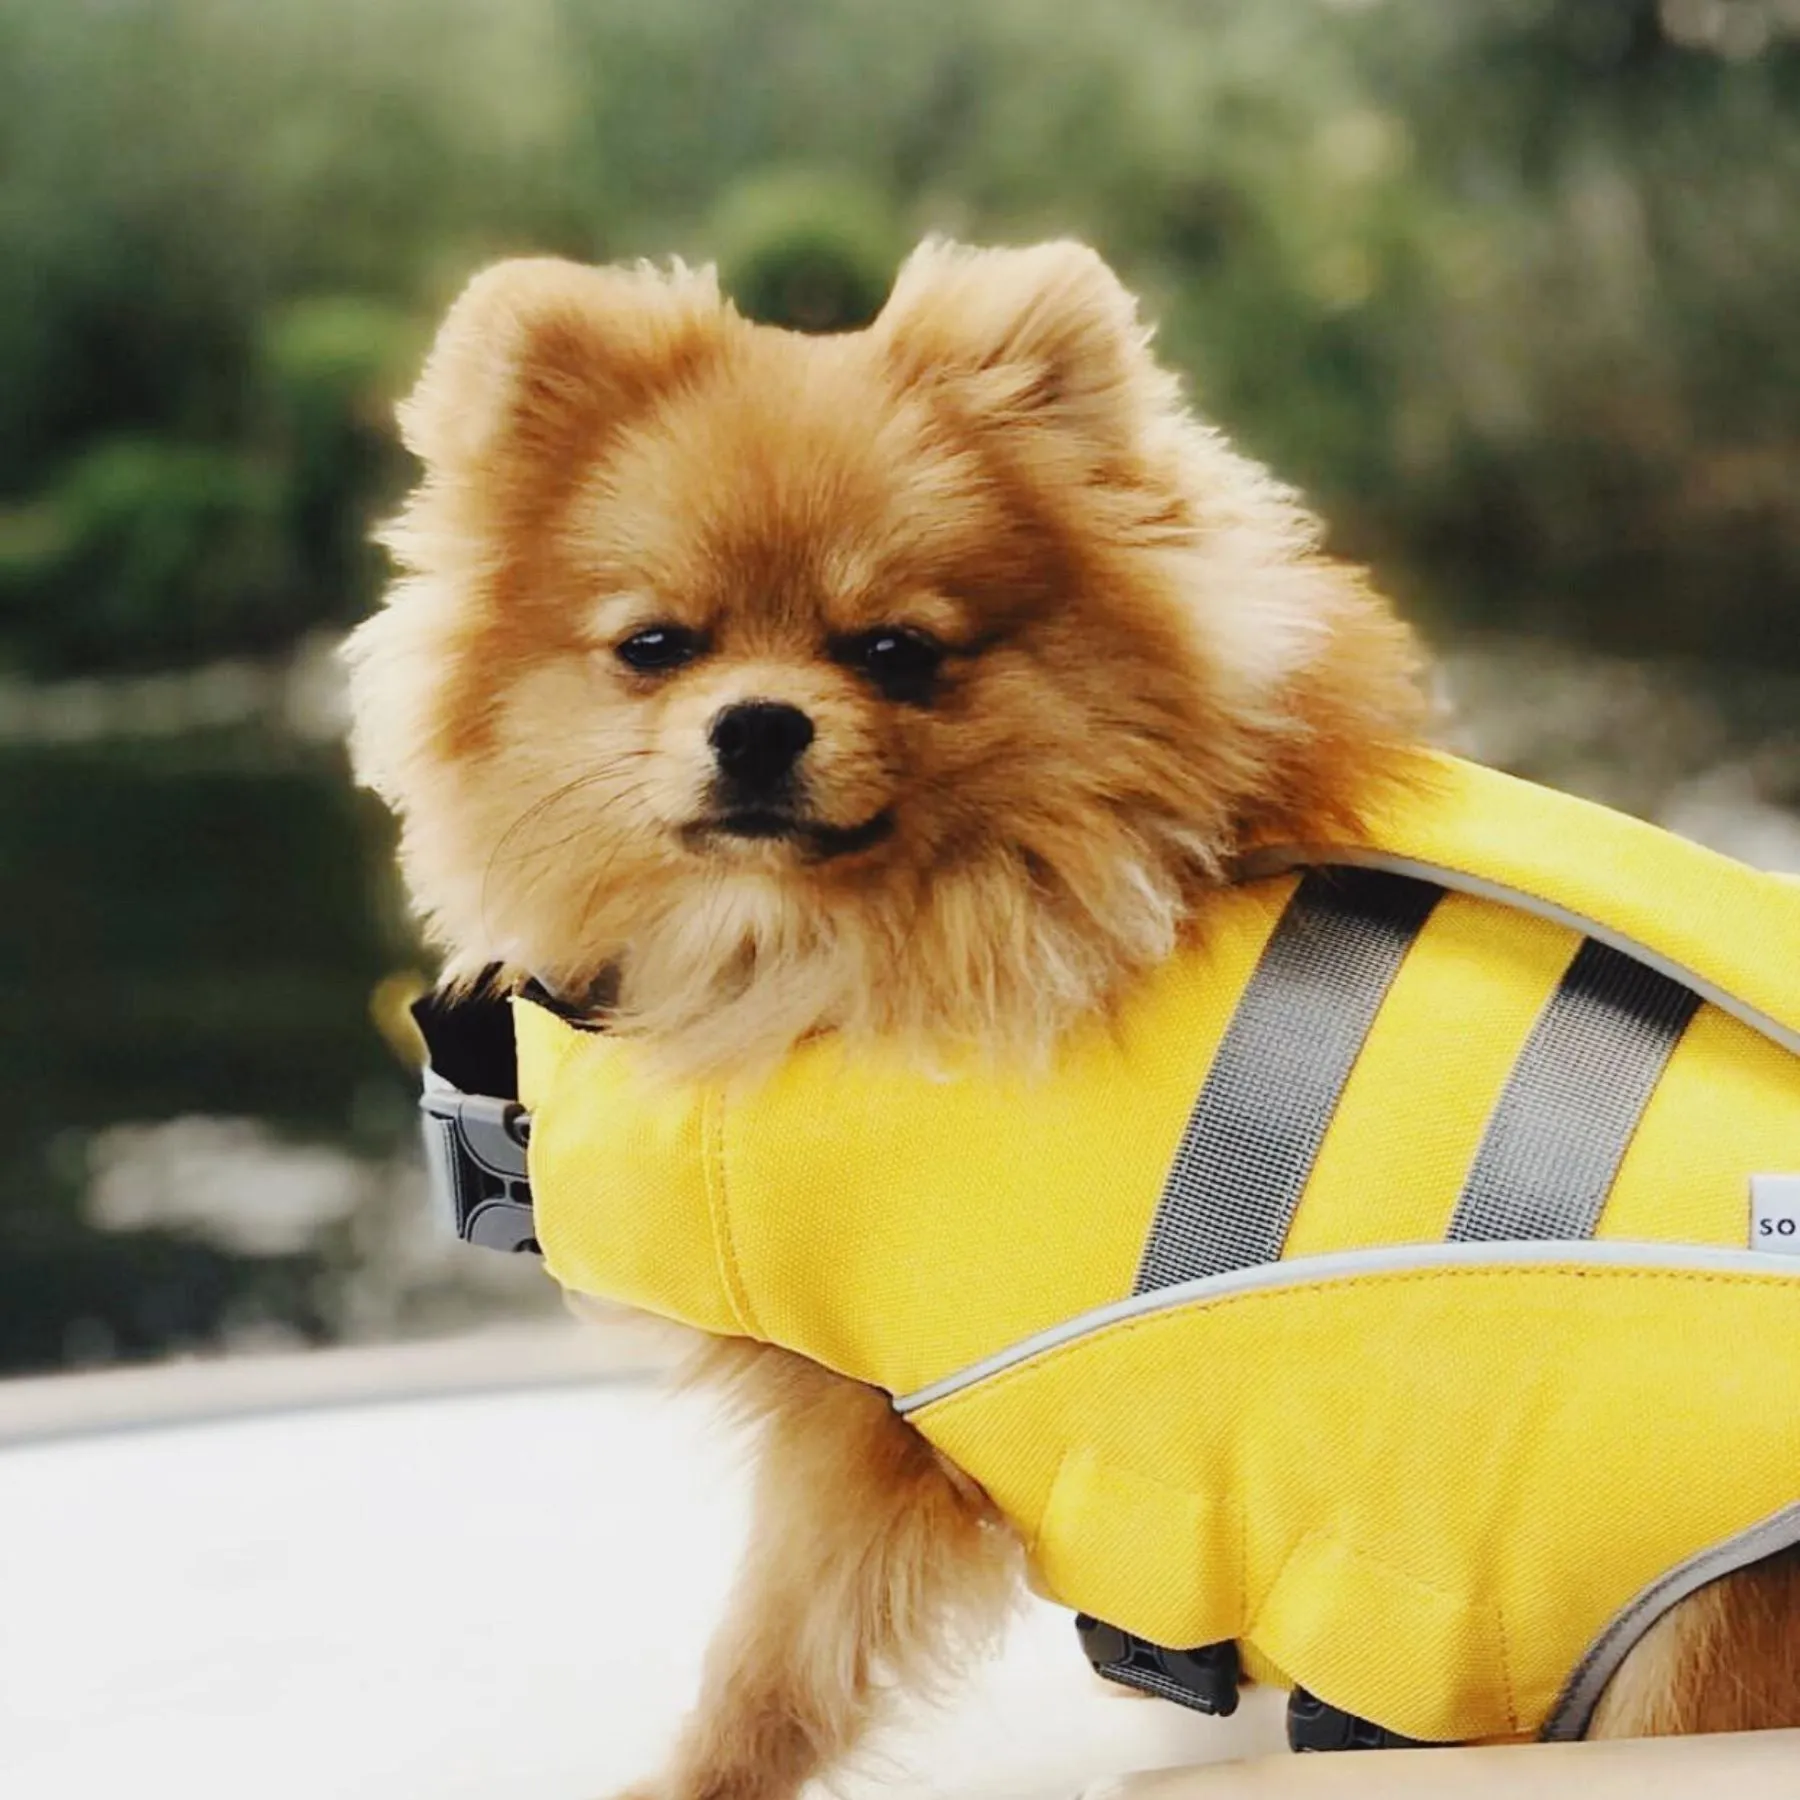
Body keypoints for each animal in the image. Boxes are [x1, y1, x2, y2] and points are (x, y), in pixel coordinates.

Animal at [347, 243, 1800, 1800]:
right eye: (655, 646)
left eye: (896, 651)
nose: (757, 722)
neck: (848, 943)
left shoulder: (865, 1438)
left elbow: (773, 1664)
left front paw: (694, 1782)